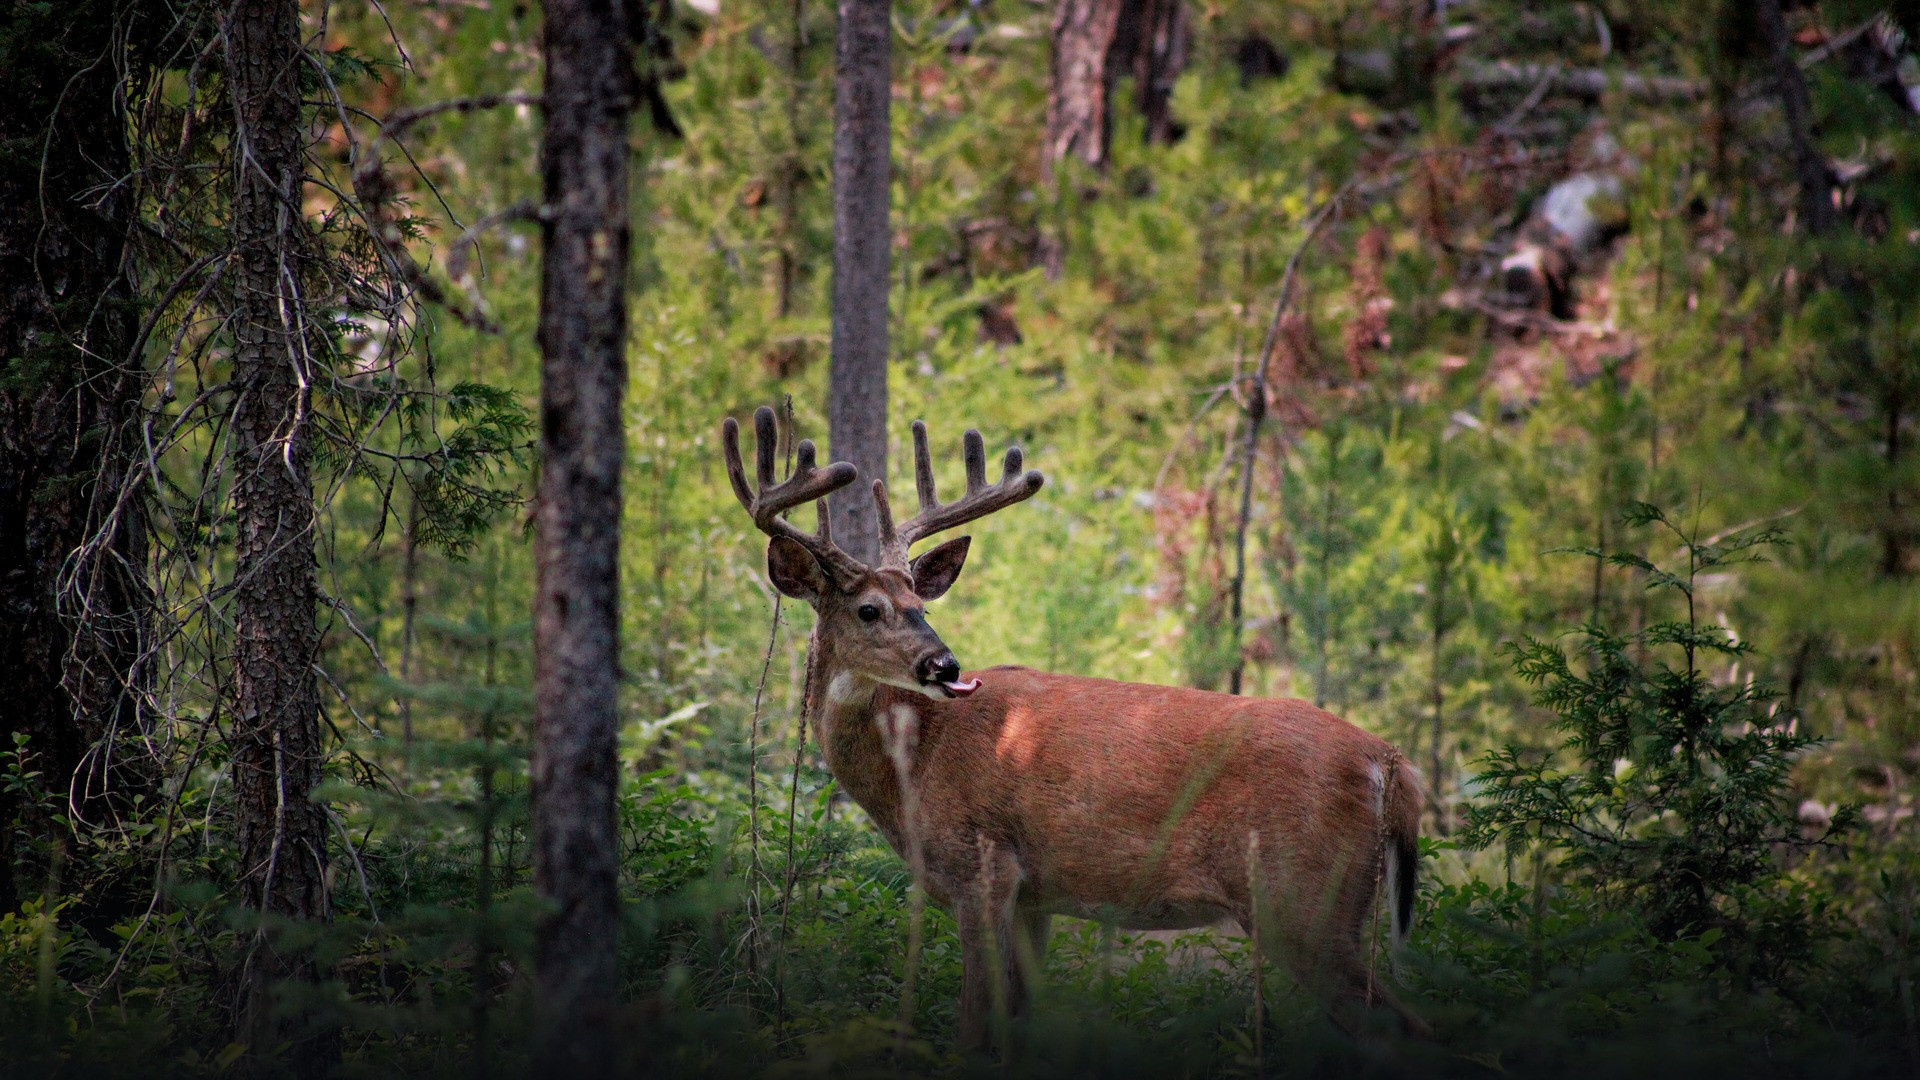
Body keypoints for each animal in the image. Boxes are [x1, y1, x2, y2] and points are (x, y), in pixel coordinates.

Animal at [721, 405, 1429, 1050]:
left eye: (921, 605)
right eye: (869, 610)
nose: (945, 664)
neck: (911, 768)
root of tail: (1391, 765)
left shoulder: (982, 867)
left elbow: (975, 1025)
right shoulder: (1034, 896)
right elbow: (1021, 1022)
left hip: (1300, 897)